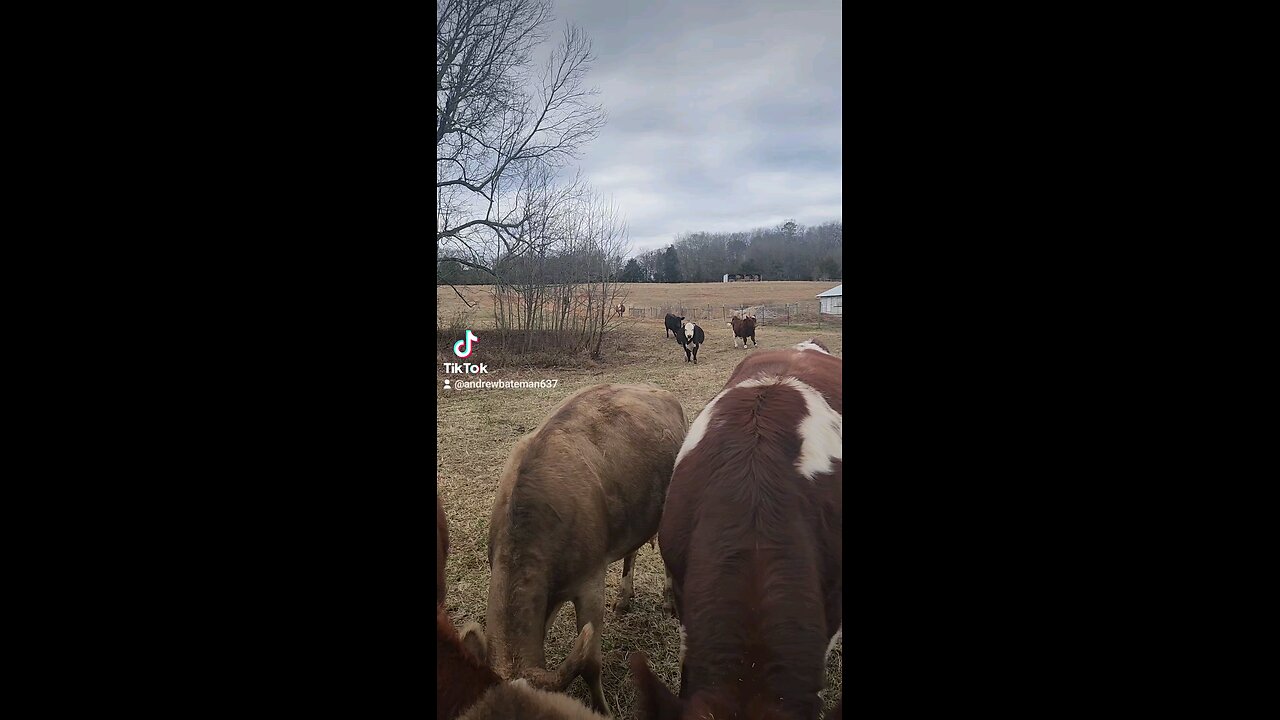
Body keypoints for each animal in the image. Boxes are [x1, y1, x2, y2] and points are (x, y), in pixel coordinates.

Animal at [481, 381, 686, 712]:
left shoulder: (590, 584)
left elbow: (589, 664)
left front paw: (601, 709)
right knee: (632, 550)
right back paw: (624, 597)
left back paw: (669, 602)